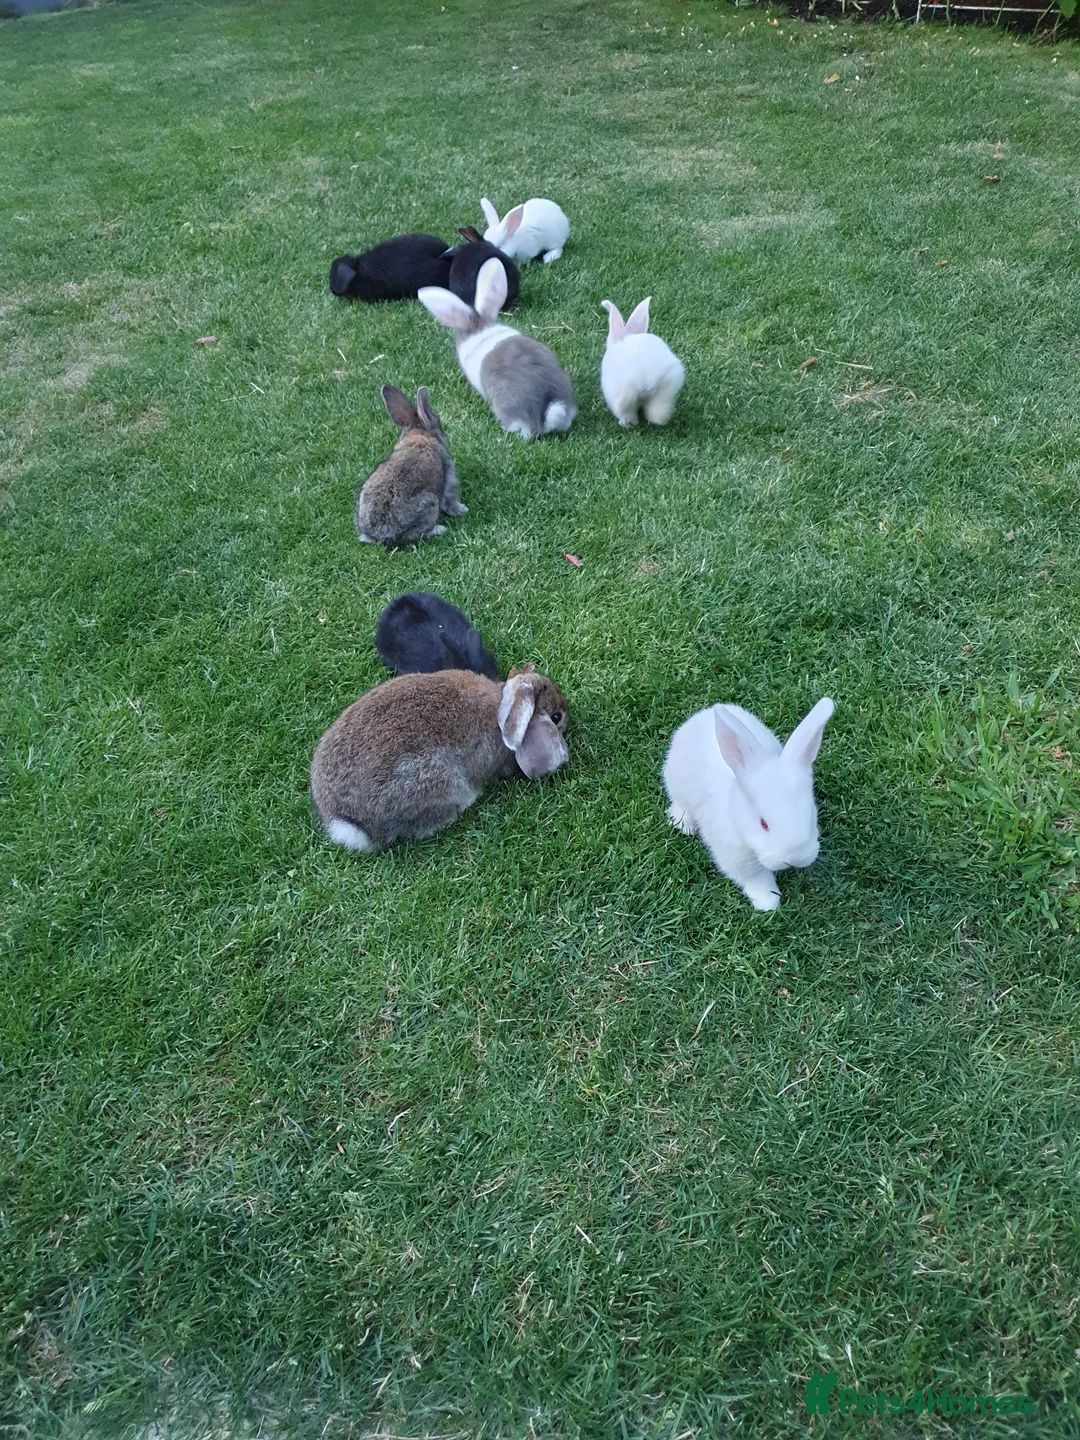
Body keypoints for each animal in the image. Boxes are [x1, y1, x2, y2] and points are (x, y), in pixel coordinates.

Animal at [355, 386, 465, 546]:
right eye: (440, 426)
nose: (445, 437)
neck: (421, 435)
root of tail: (382, 534)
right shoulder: (449, 474)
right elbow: (450, 498)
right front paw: (461, 509)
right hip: (430, 503)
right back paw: (439, 529)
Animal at [600, 298, 685, 427]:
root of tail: (648, 378)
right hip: (667, 388)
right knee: (658, 414)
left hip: (624, 394)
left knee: (626, 413)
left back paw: (626, 423)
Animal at [662, 698, 835, 911]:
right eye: (763, 824)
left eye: (811, 816)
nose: (793, 858)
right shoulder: (734, 856)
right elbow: (755, 878)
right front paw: (768, 902)